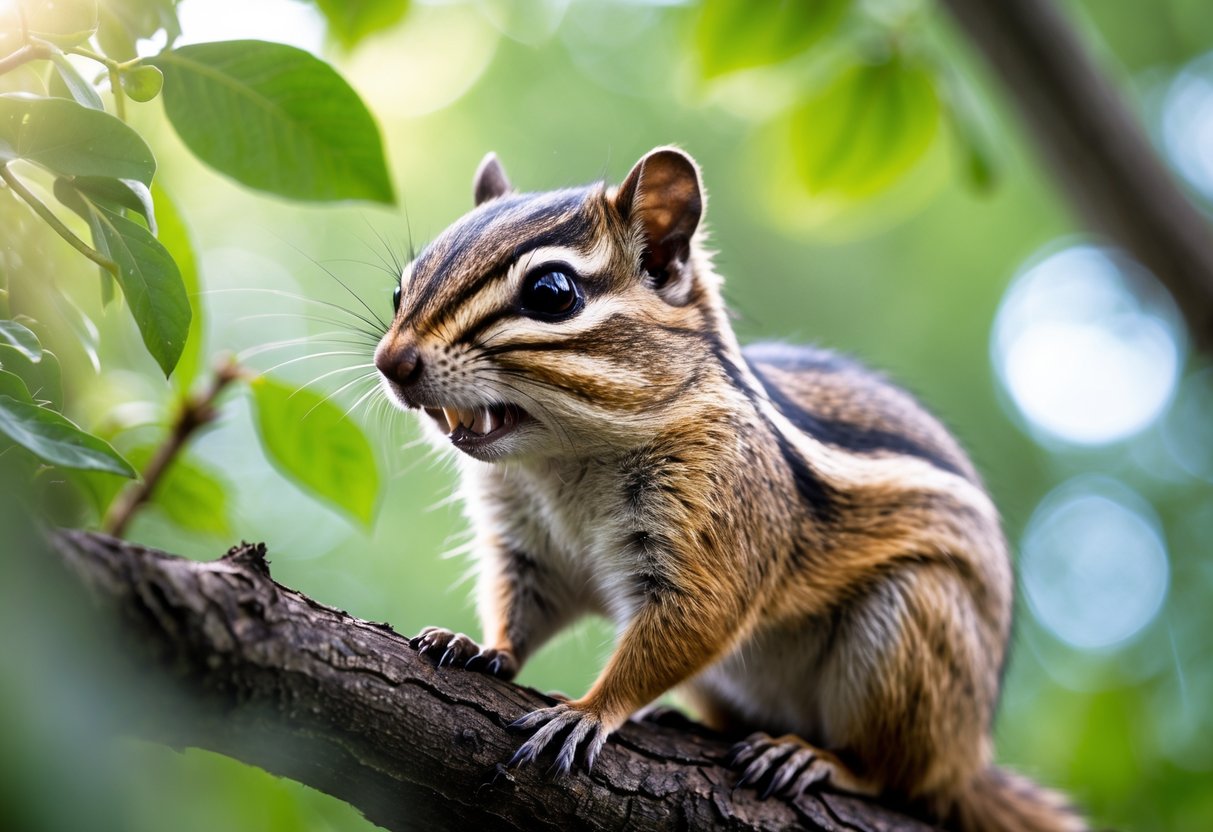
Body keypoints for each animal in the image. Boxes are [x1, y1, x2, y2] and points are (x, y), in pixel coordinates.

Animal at [373, 146, 1086, 832]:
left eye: (552, 292)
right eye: (400, 288)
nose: (392, 362)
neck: (563, 461)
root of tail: (969, 758)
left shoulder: (719, 511)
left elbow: (695, 620)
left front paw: (589, 710)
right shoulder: (528, 545)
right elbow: (521, 607)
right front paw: (480, 647)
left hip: (912, 631)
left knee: (897, 777)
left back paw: (813, 758)